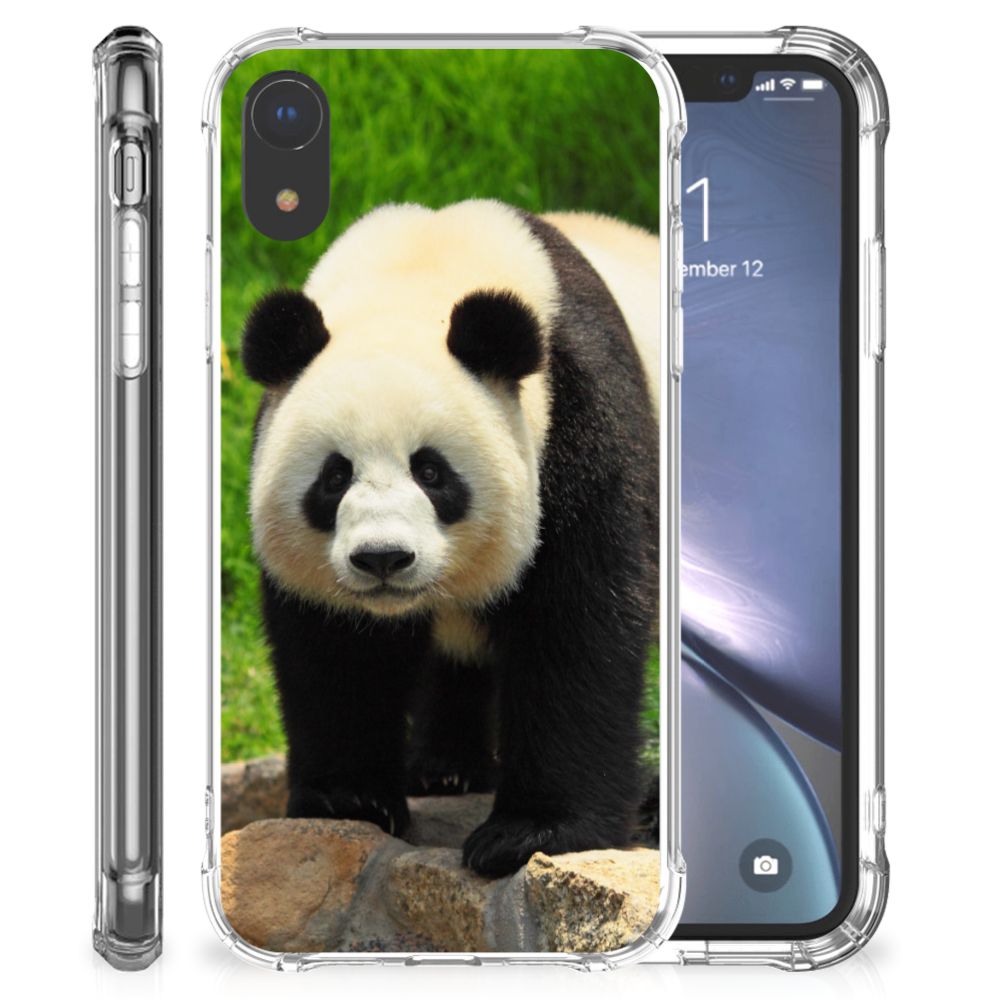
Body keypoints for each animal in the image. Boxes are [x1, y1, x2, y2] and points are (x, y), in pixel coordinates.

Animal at [242, 199, 660, 877]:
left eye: (432, 472)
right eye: (334, 476)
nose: (383, 558)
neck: (420, 271)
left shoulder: (581, 422)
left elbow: (578, 624)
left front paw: (532, 833)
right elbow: (337, 648)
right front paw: (349, 799)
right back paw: (444, 769)